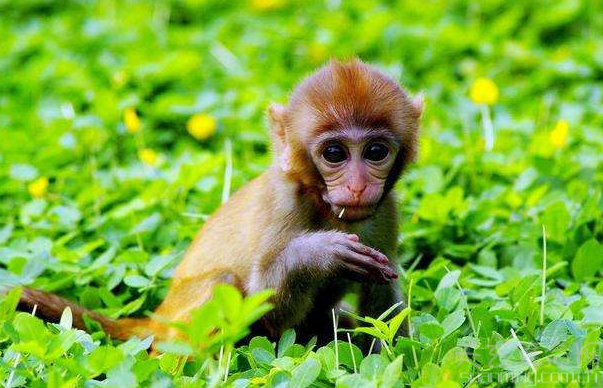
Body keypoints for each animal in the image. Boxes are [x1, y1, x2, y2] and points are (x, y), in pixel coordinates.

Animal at [20, 59, 424, 346]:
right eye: (335, 154)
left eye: (375, 152)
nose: (357, 186)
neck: (323, 202)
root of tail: (159, 317)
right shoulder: (283, 202)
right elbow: (267, 312)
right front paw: (316, 253)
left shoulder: (386, 210)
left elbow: (381, 308)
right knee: (223, 284)